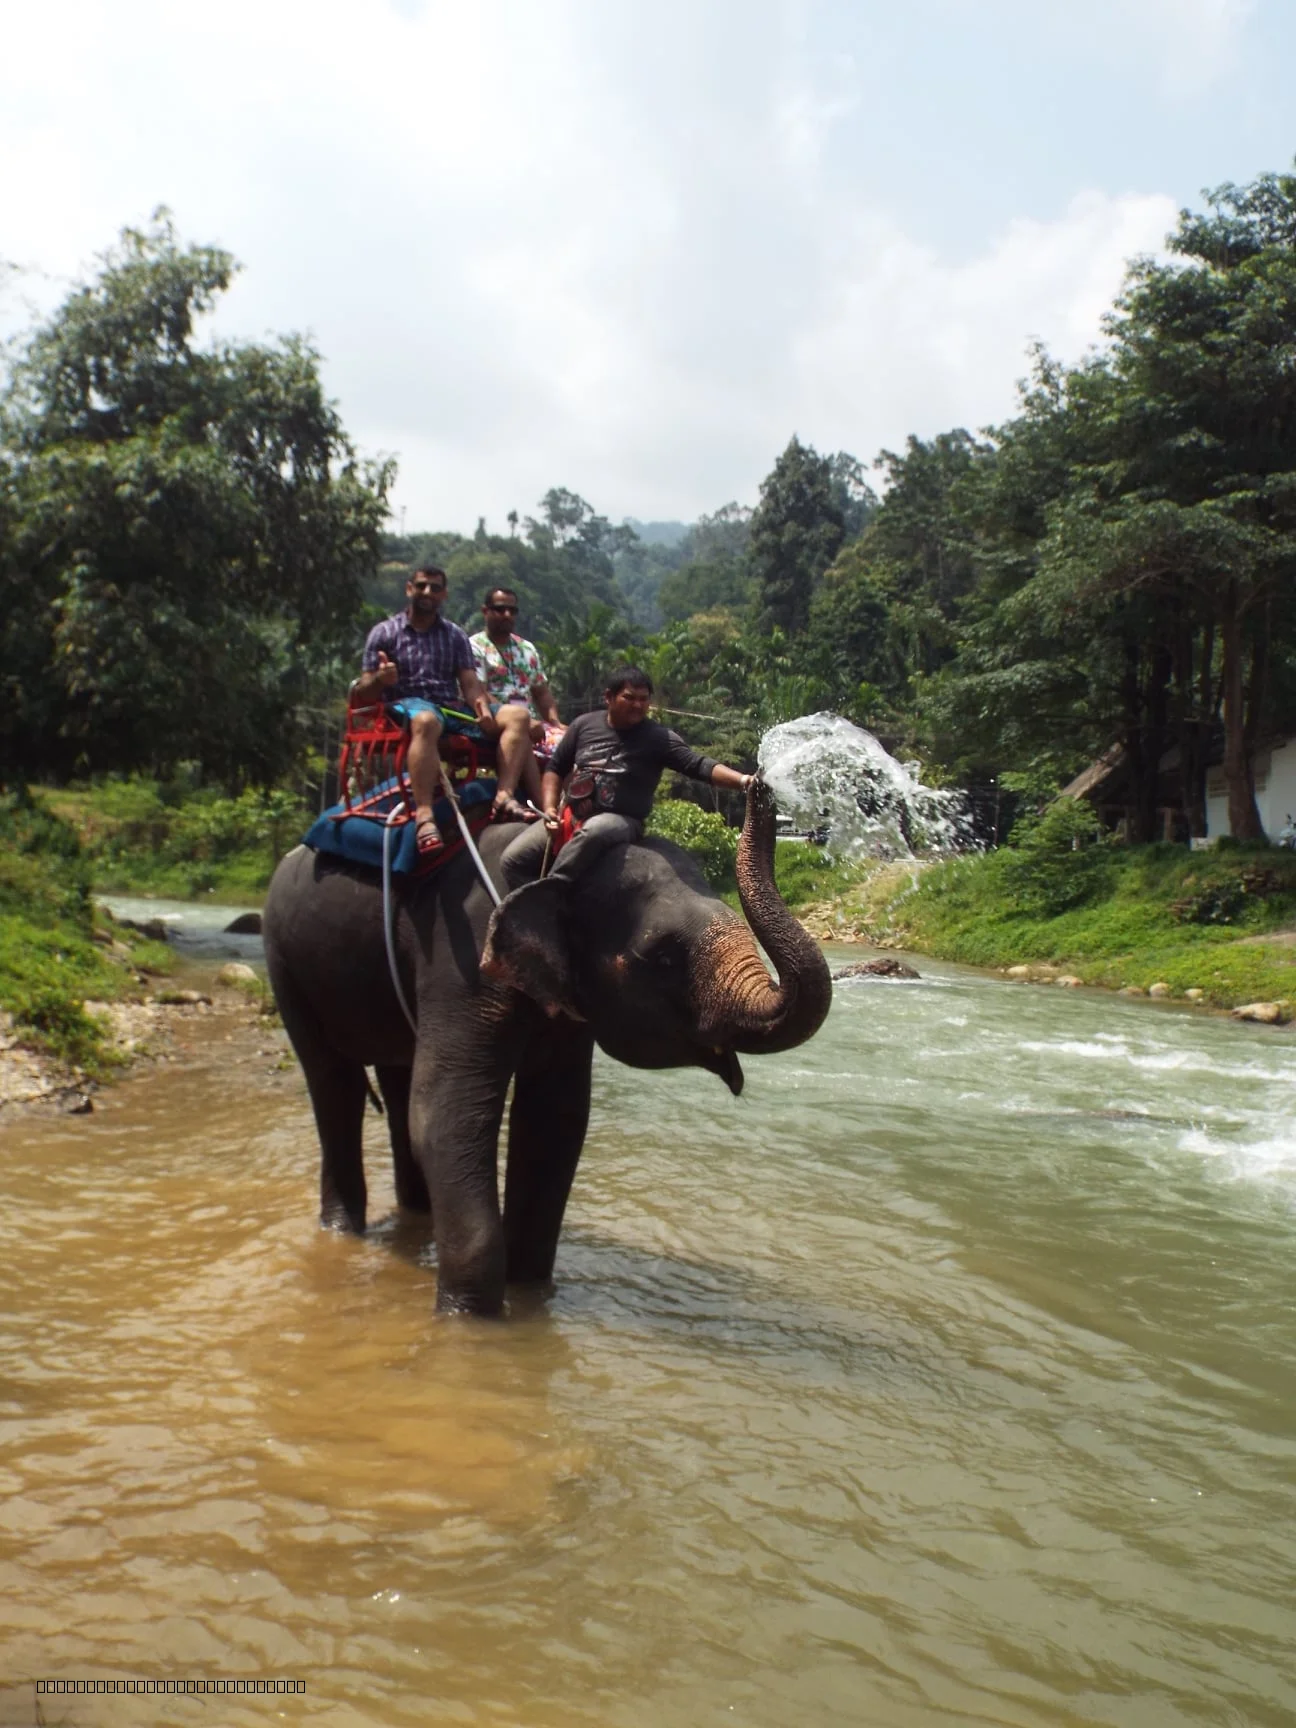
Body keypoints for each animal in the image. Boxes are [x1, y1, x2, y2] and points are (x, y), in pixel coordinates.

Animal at [261, 783, 831, 1316]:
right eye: (663, 958)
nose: (760, 785)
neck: (560, 865)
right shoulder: (461, 957)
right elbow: (446, 1114)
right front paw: (470, 1318)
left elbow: (555, 1122)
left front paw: (530, 1294)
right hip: (283, 961)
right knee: (333, 1083)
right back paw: (342, 1231)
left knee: (395, 1083)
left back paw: (414, 1221)